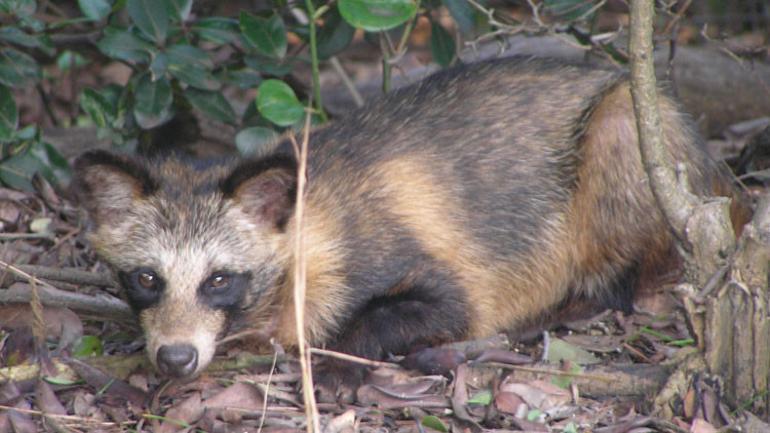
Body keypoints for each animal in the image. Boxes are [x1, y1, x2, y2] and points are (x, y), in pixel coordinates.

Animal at [72, 56, 736, 388]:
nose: (175, 359)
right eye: (147, 279)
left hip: (630, 133)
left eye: (218, 280)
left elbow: (434, 308)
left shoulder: (413, 257)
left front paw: (341, 359)